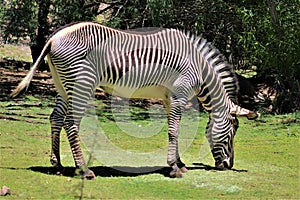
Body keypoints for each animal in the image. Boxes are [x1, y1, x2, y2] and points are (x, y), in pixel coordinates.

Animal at [11, 21, 258, 180]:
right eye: (233, 130)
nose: (227, 166)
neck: (198, 66)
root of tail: (55, 36)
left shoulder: (168, 99)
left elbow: (174, 131)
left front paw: (180, 163)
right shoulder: (178, 96)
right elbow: (174, 131)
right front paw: (174, 168)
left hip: (63, 84)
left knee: (55, 118)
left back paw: (58, 164)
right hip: (82, 84)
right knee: (71, 123)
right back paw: (84, 169)